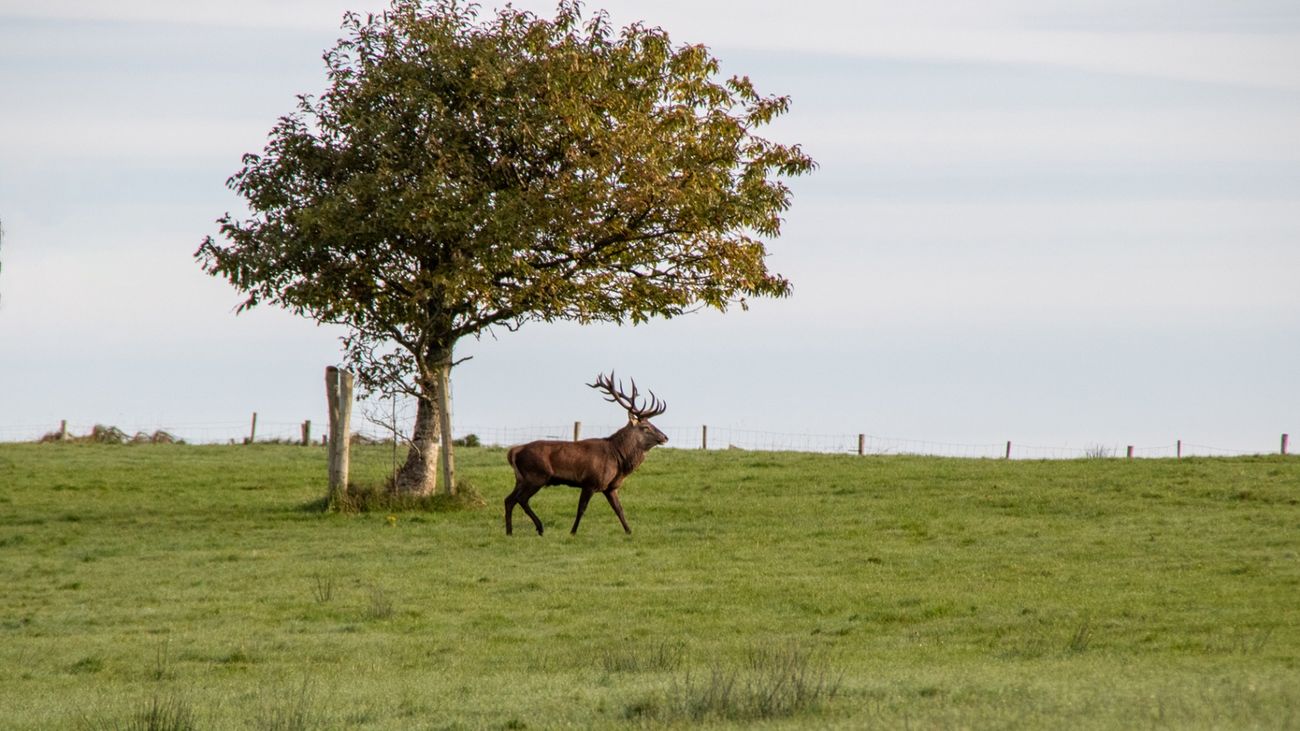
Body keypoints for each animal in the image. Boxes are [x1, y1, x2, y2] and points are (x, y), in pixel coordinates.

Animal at [505, 372, 668, 536]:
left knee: (509, 499)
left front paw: (629, 532)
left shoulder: (610, 488)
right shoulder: (590, 482)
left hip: (521, 479)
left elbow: (619, 510)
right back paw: (539, 527)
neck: (618, 459)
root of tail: (514, 452)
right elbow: (581, 510)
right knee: (521, 499)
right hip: (537, 475)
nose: (665, 437)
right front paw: (572, 532)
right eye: (646, 427)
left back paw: (509, 532)